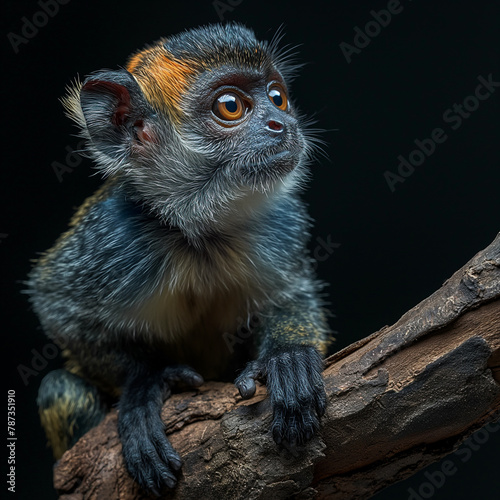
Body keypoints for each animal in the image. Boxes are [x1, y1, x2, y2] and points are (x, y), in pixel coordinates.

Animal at [28, 22, 332, 496]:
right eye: (231, 106)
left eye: (277, 96)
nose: (283, 124)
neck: (199, 235)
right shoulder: (112, 239)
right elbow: (57, 305)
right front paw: (145, 385)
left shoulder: (280, 222)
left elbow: (293, 294)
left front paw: (289, 357)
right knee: (60, 387)